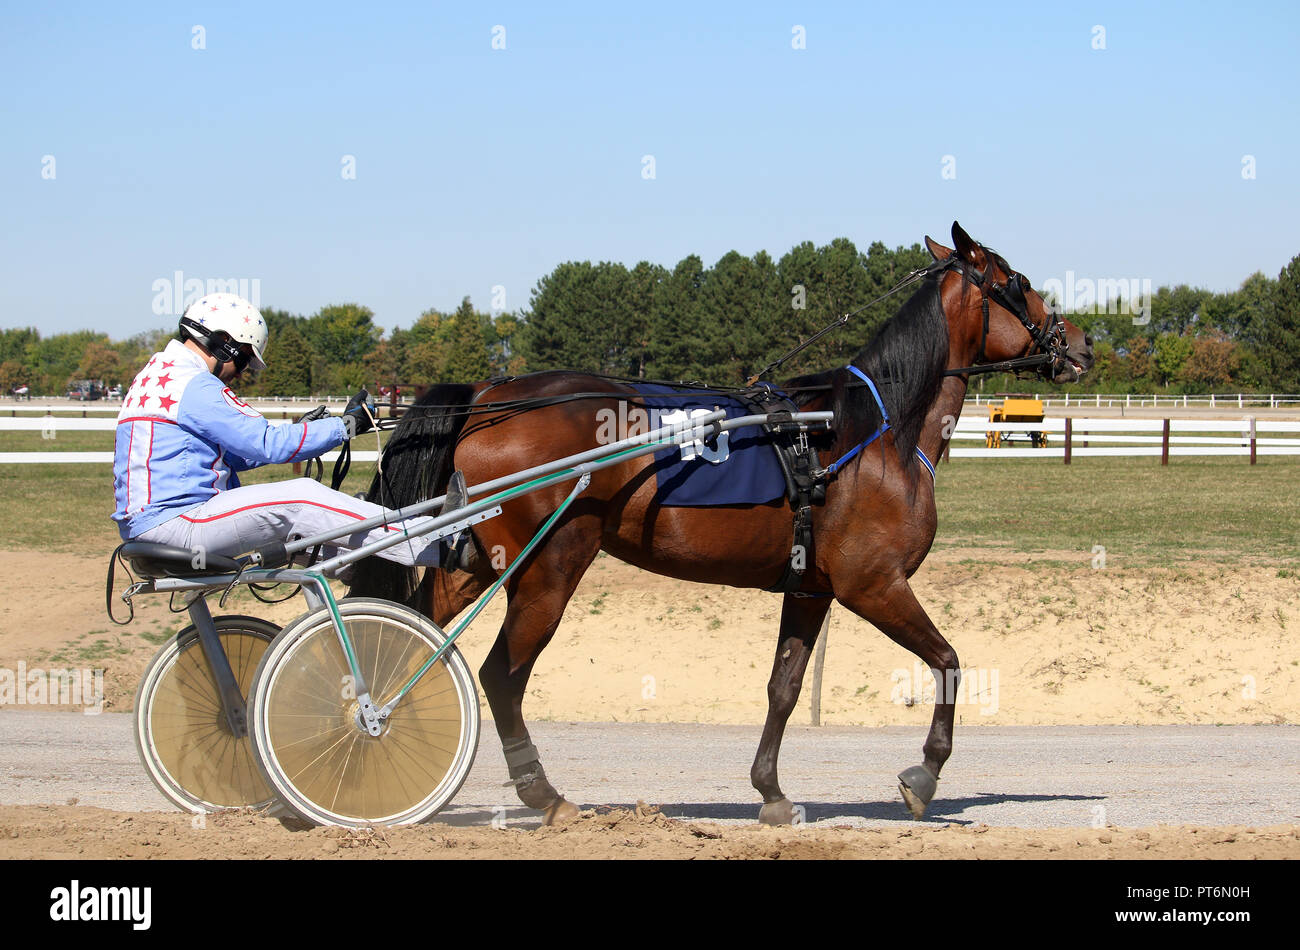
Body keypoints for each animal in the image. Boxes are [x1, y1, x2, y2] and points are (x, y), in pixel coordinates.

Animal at [348, 222, 1094, 825]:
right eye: (1019, 283)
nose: (1082, 346)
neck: (871, 432)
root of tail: (488, 396)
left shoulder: (811, 588)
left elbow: (784, 688)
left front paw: (771, 791)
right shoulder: (873, 584)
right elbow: (947, 663)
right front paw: (923, 775)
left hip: (477, 563)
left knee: (411, 644)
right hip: (546, 567)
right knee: (500, 675)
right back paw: (543, 795)